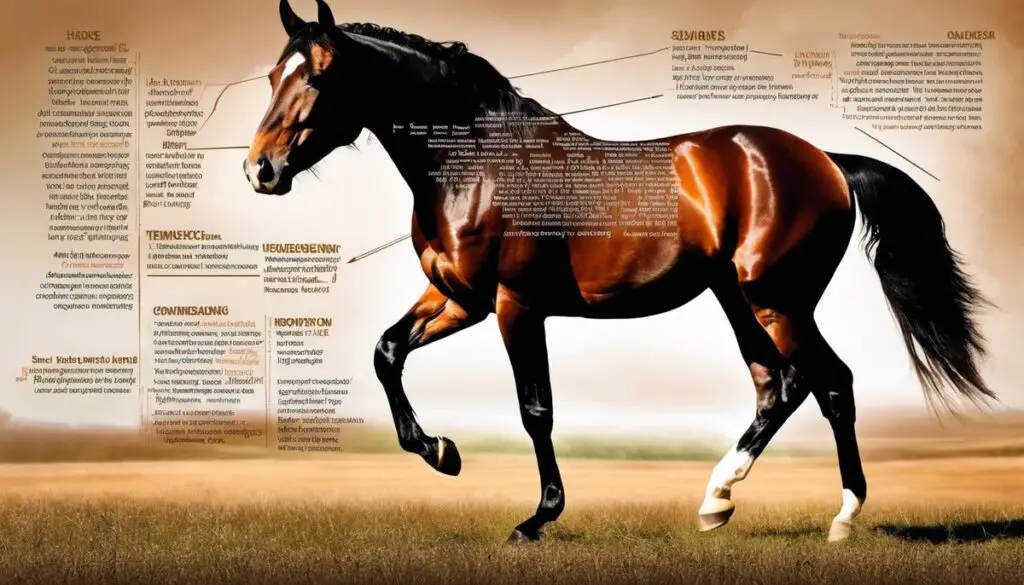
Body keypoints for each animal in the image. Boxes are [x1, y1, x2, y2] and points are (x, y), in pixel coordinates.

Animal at [244, 0, 993, 543]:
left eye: (318, 75)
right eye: (273, 76)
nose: (261, 170)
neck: (475, 164)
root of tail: (828, 162)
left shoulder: (515, 305)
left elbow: (536, 409)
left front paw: (537, 518)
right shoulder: (458, 298)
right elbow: (387, 351)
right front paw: (442, 451)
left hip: (777, 298)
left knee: (831, 382)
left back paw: (842, 517)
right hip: (738, 298)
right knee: (778, 385)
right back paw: (716, 501)